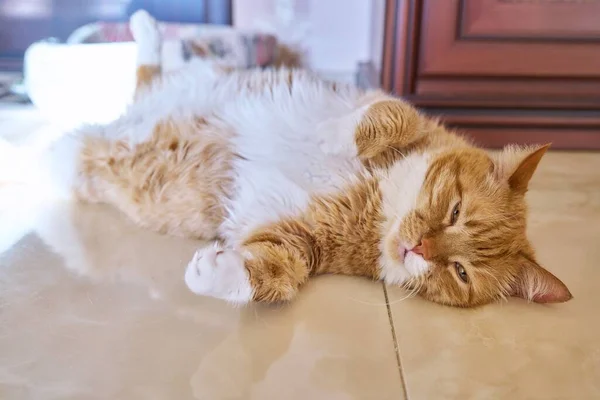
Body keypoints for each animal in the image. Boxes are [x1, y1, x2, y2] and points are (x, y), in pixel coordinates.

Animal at [10, 10, 572, 308]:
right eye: (455, 210)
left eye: (459, 272)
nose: (418, 248)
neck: (382, 205)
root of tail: (123, 120)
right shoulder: (401, 113)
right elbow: (385, 117)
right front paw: (332, 136)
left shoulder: (297, 238)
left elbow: (275, 275)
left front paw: (213, 275)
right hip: (189, 82)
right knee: (151, 70)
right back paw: (147, 27)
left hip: (72, 159)